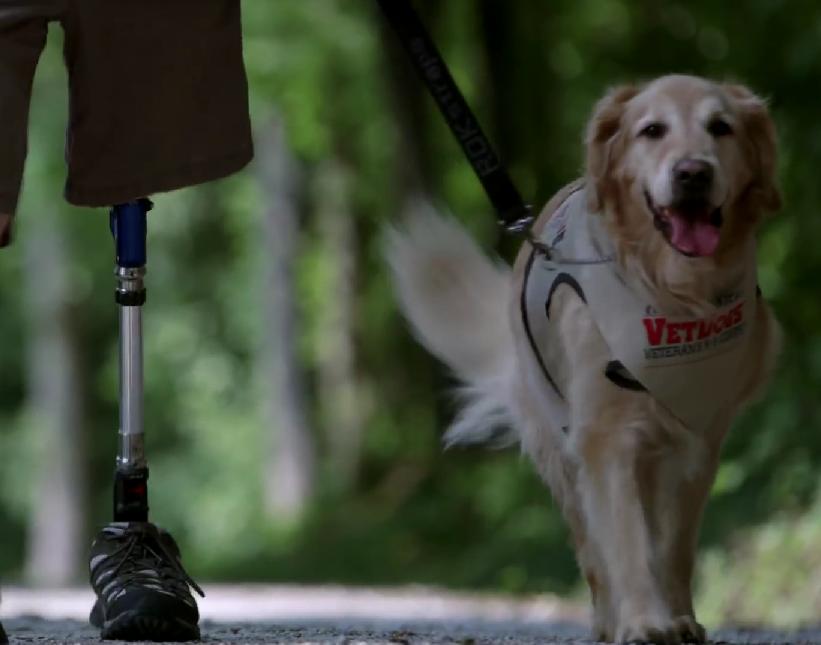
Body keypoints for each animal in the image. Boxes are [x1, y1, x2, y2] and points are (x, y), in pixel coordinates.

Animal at [386, 76, 780, 644]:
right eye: (652, 130)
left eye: (720, 127)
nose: (693, 172)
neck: (674, 296)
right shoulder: (603, 436)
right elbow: (624, 542)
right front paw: (642, 621)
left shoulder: (698, 443)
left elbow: (672, 547)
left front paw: (677, 615)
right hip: (560, 448)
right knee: (593, 552)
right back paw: (608, 621)